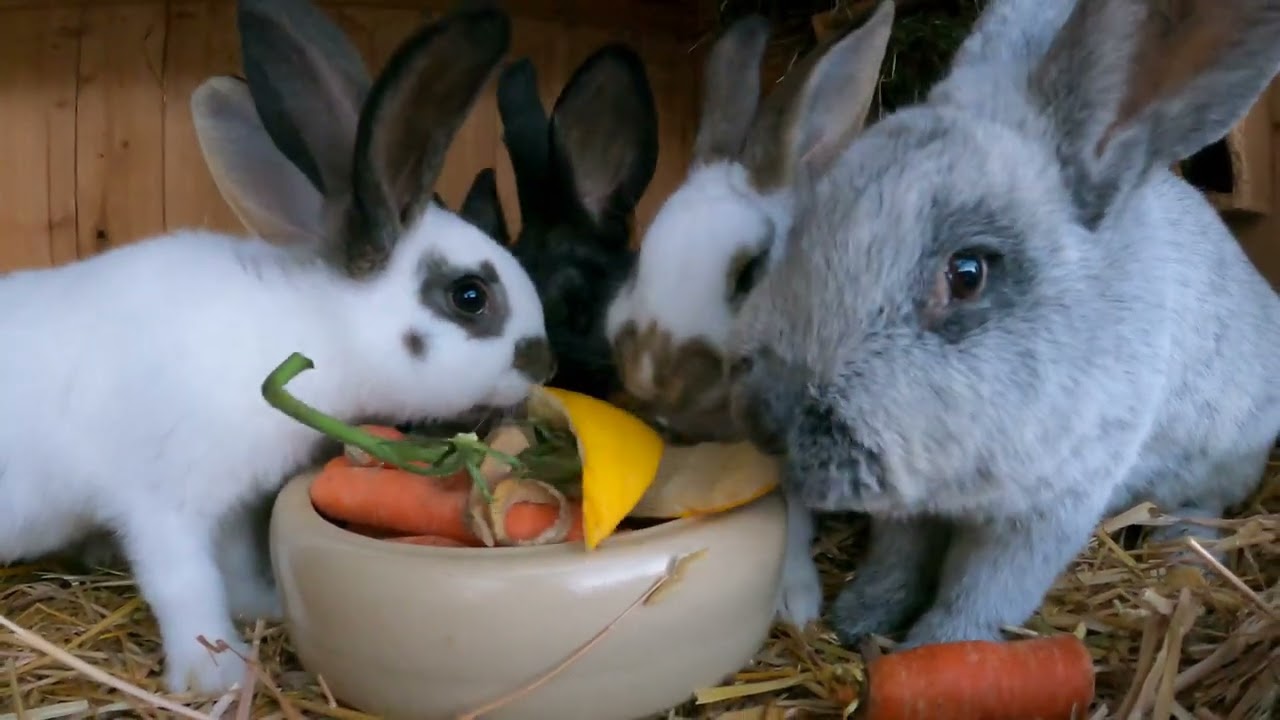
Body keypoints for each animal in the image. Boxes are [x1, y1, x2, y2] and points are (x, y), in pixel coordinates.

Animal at [0, 0, 553, 696]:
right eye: (470, 296)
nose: (544, 362)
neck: (313, 330)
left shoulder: (233, 506)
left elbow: (233, 563)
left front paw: (261, 608)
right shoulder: (163, 505)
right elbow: (186, 584)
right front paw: (218, 673)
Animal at [726, 0, 1280, 651]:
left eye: (968, 274)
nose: (765, 420)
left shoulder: (1048, 511)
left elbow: (982, 594)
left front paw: (930, 650)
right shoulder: (911, 512)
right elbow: (897, 559)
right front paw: (860, 618)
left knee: (1202, 508)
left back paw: (1185, 556)